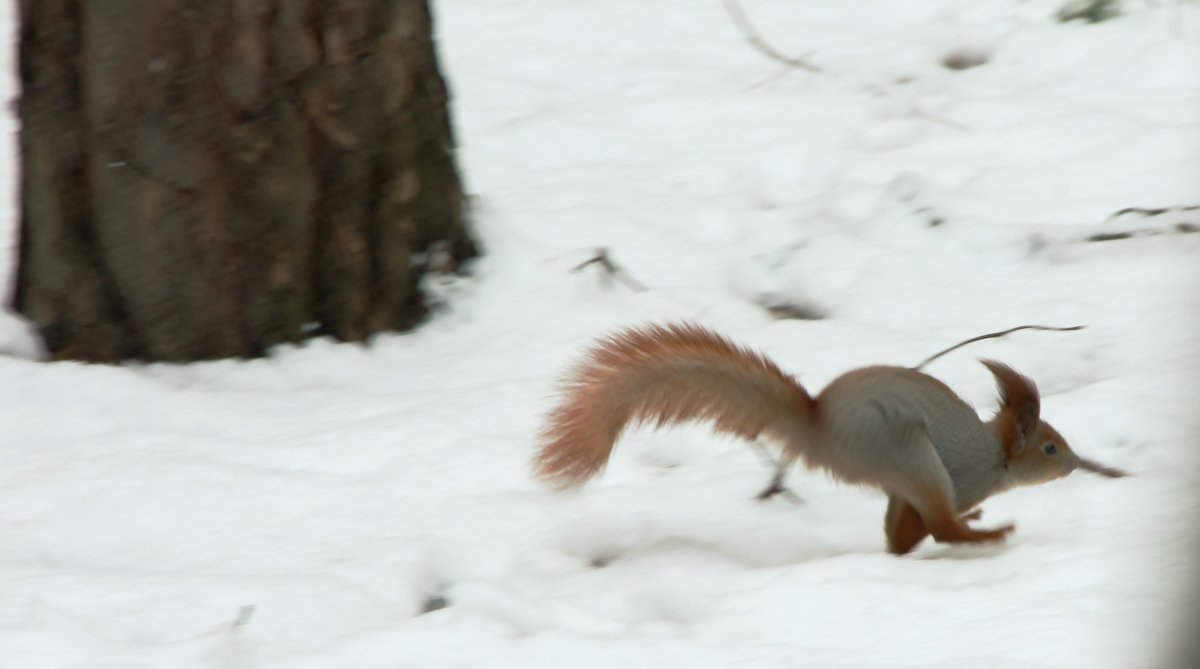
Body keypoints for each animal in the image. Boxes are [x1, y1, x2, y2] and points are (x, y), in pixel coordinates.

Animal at [535, 323, 1123, 556]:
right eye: (1049, 447)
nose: (1075, 463)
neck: (996, 457)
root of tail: (821, 431)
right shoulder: (964, 476)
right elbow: (934, 523)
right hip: (910, 454)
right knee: (938, 528)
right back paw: (985, 532)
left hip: (901, 473)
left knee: (900, 535)